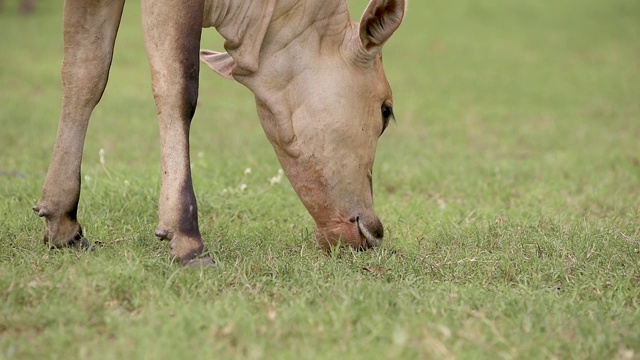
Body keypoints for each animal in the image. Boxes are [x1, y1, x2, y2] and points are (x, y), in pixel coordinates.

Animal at [32, 0, 404, 266]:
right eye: (386, 110)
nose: (374, 231)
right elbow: (179, 85)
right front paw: (187, 238)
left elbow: (86, 72)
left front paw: (62, 223)